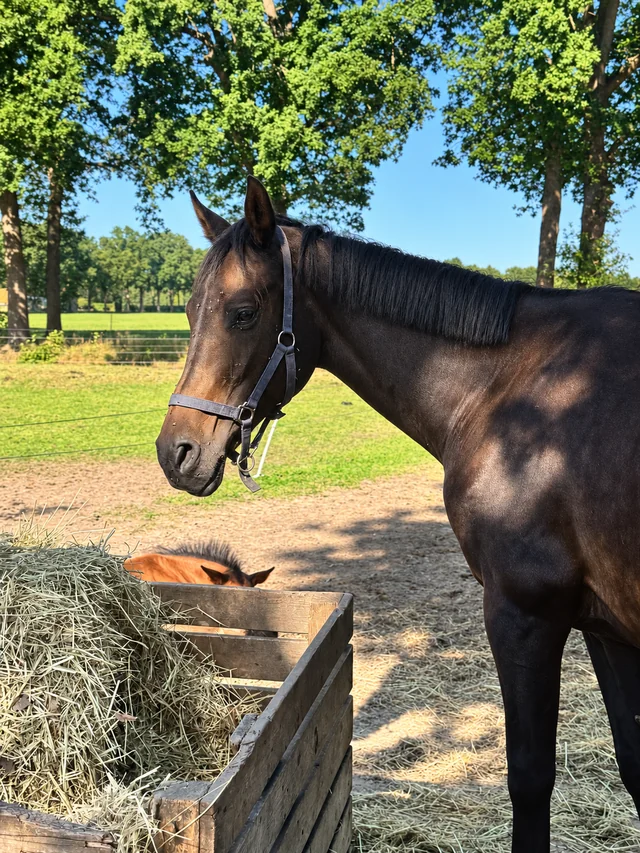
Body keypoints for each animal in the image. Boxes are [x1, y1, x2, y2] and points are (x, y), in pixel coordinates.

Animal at [155, 176, 640, 853]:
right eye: (188, 310)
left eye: (243, 312)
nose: (177, 452)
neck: (511, 385)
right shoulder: (606, 628)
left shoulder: (525, 615)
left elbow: (530, 778)